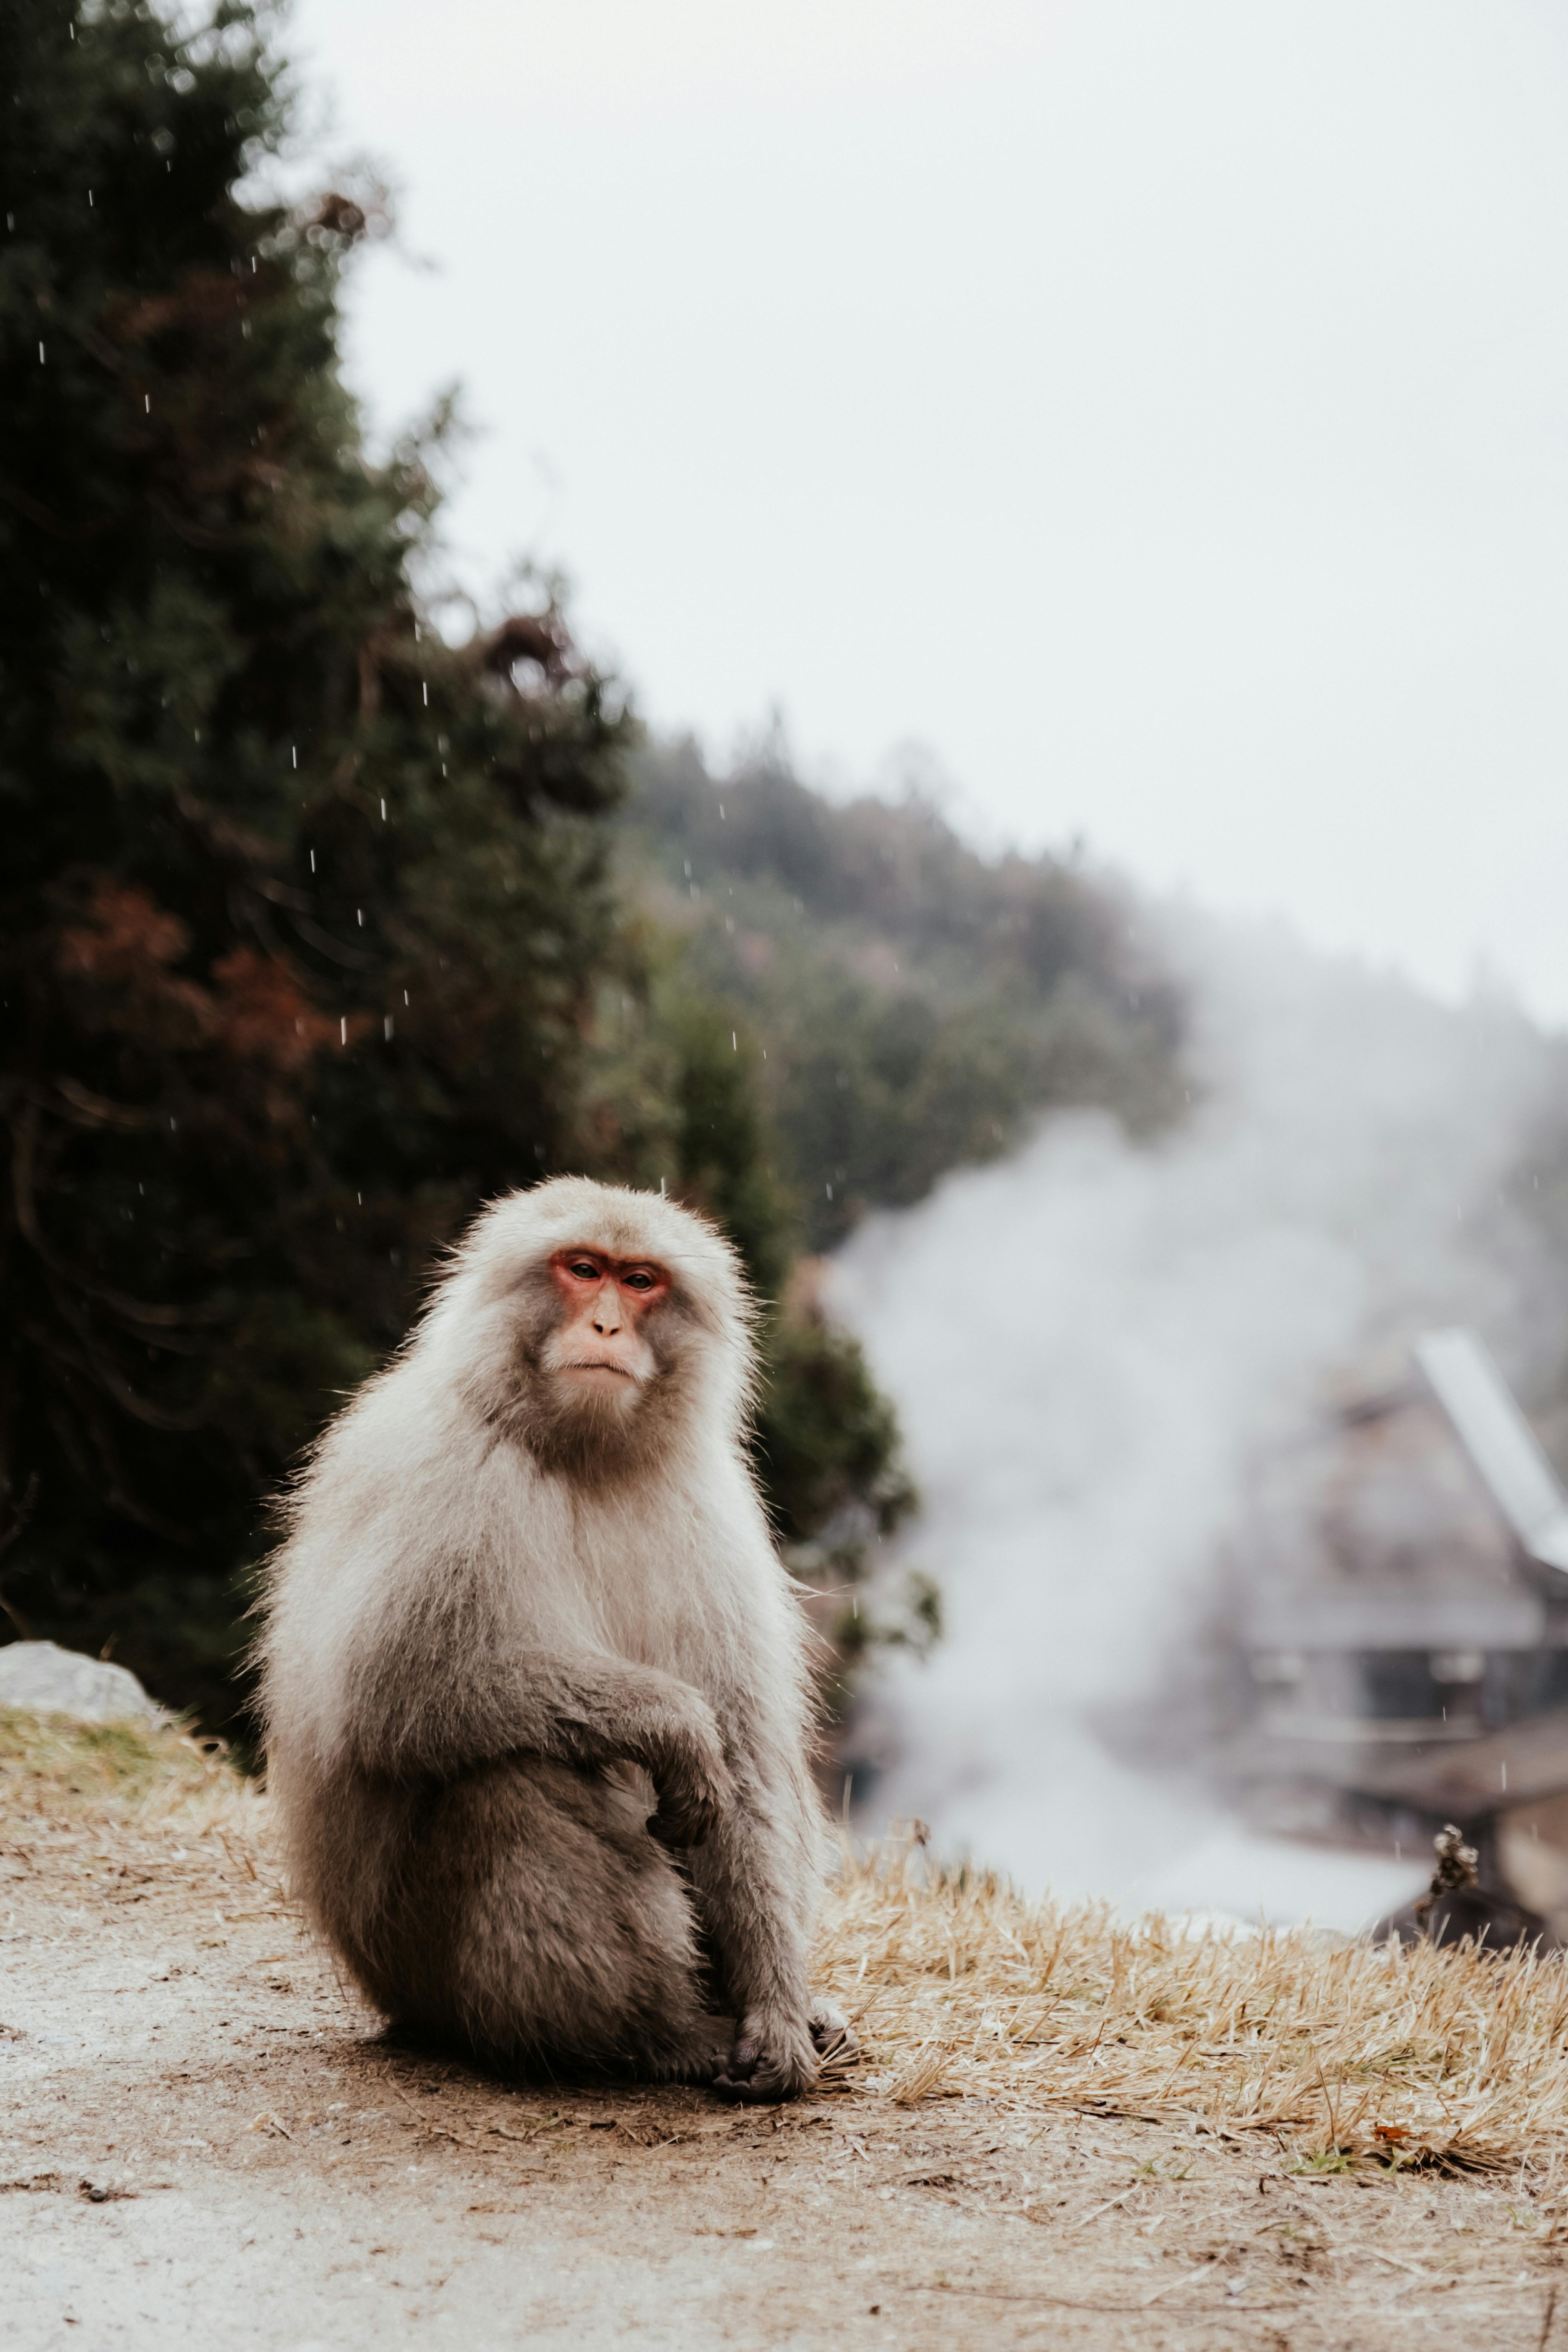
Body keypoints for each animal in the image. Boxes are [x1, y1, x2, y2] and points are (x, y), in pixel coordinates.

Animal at [258, 1176, 852, 2099]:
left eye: (639, 1281)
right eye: (582, 1270)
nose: (605, 1326)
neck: (585, 1453)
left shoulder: (711, 1509)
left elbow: (748, 1757)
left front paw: (778, 2010)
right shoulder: (441, 1471)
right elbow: (389, 1693)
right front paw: (670, 1724)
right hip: (416, 1972)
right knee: (519, 1773)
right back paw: (656, 2034)